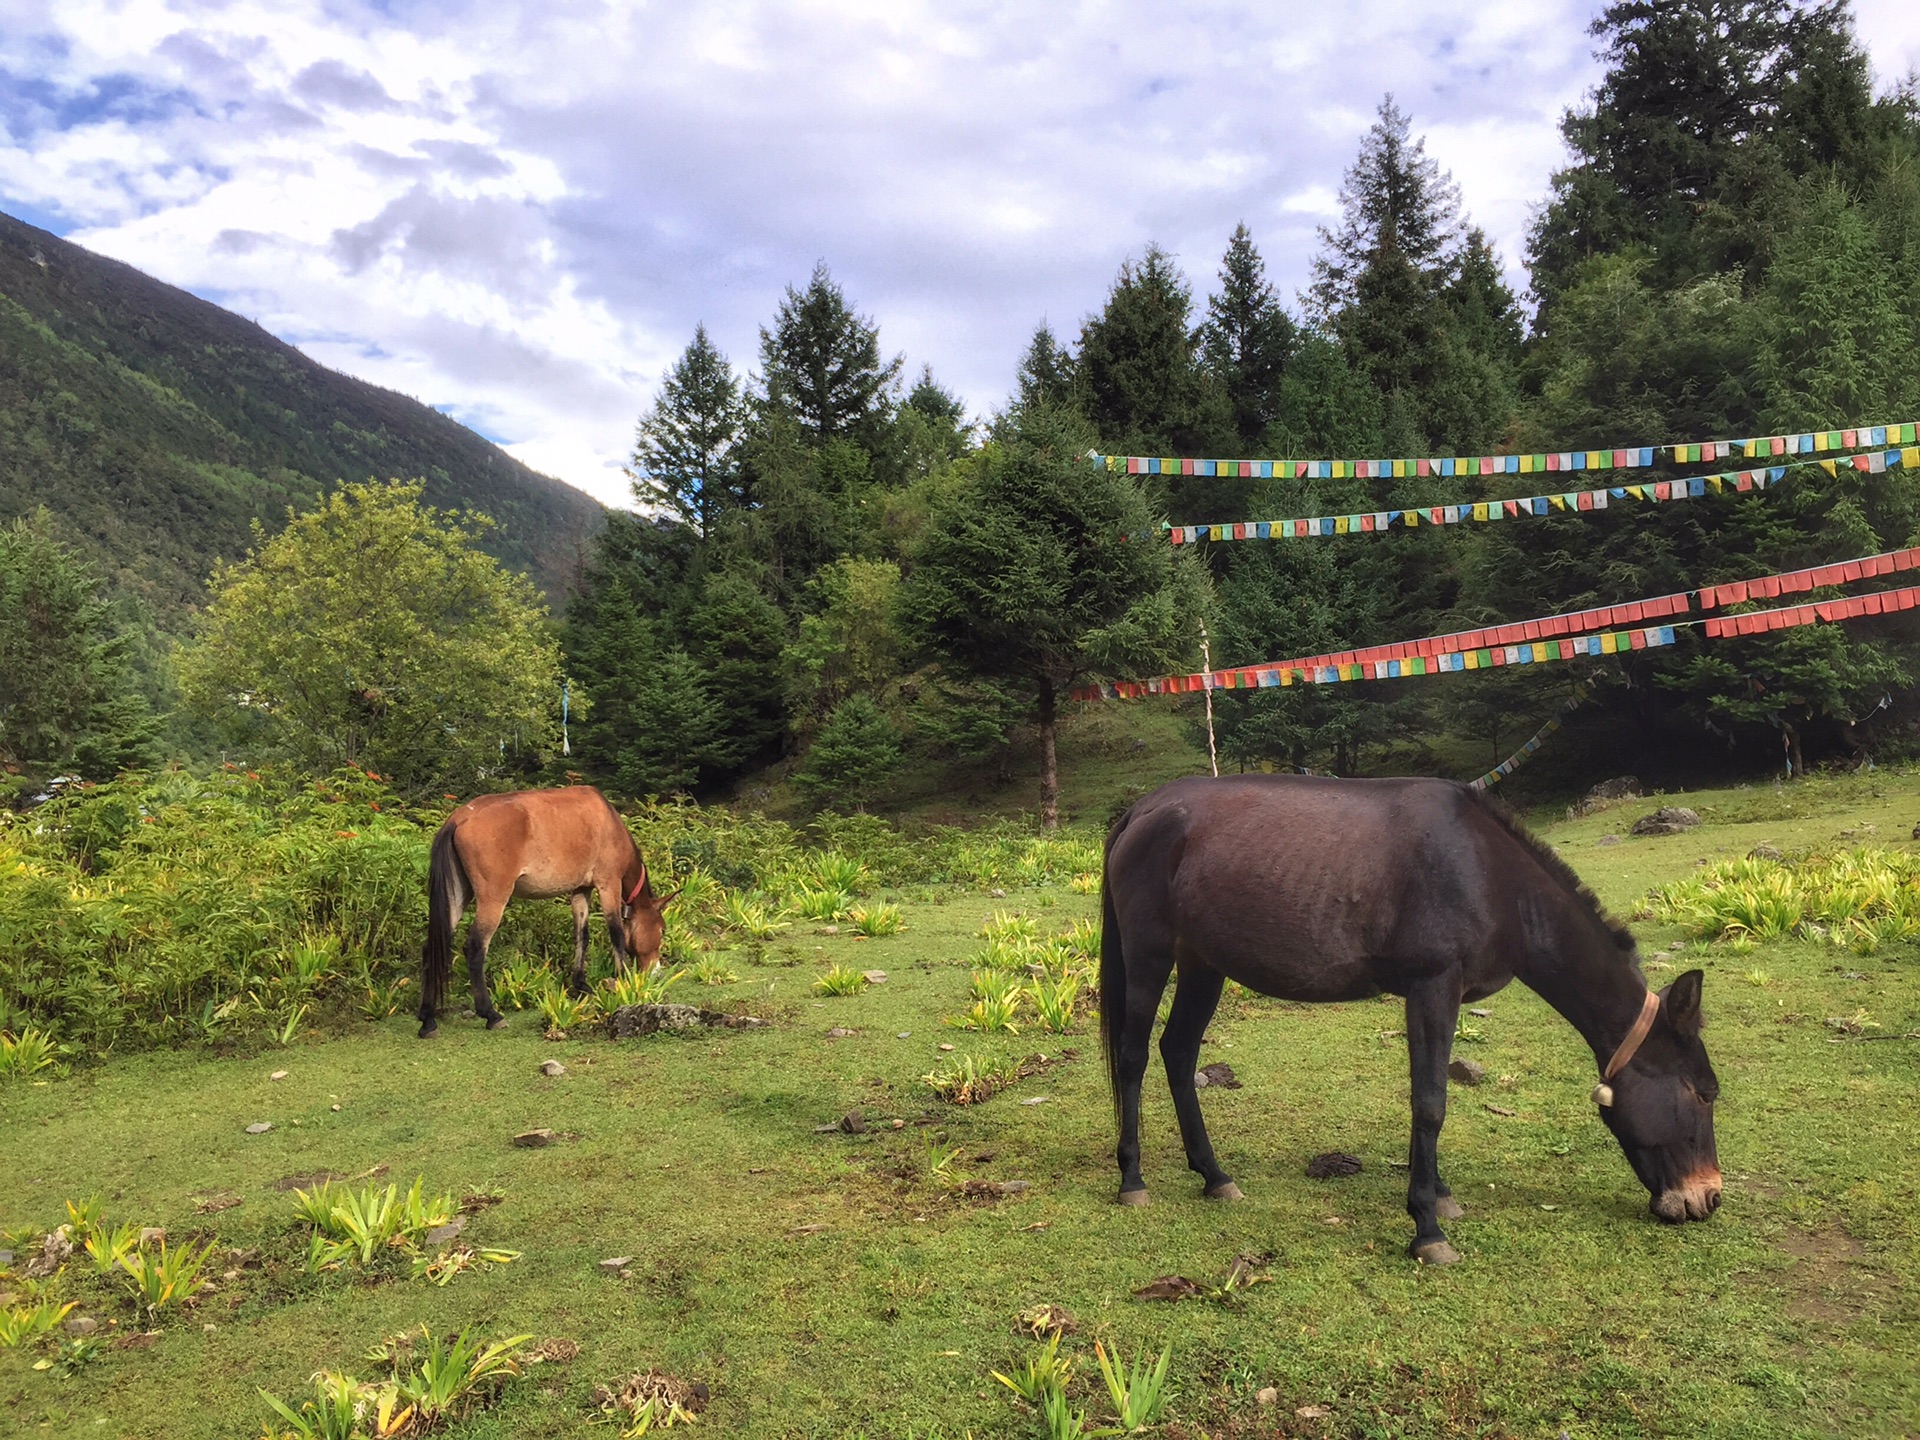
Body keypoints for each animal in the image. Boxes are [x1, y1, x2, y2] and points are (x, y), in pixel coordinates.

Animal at [416, 791, 679, 1036]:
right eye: (662, 929)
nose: (656, 970)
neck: (609, 822)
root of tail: (460, 817)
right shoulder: (608, 885)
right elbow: (616, 934)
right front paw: (624, 981)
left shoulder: (580, 890)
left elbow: (581, 936)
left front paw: (581, 984)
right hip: (493, 899)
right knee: (475, 948)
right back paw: (491, 1014)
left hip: (459, 895)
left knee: (432, 947)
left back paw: (428, 1019)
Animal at [1098, 779, 1728, 1259]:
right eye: (1703, 1092)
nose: (1709, 1197)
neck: (1491, 877)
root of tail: (1145, 808)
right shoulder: (1432, 988)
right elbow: (1430, 1104)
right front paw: (1427, 1228)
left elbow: (1431, 1098)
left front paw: (1441, 1195)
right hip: (1150, 955)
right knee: (1133, 1058)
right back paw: (1133, 1179)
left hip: (1203, 965)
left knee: (1179, 1053)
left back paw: (1214, 1175)